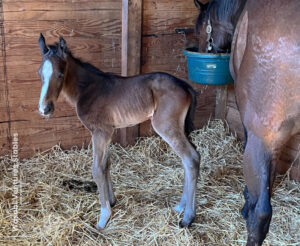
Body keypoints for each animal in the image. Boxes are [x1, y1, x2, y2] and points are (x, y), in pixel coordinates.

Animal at [37, 34, 200, 229]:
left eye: (60, 74)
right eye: (40, 73)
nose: (45, 109)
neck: (87, 89)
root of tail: (184, 85)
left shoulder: (100, 132)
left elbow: (97, 169)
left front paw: (103, 217)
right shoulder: (108, 133)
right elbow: (106, 165)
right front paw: (112, 201)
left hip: (166, 126)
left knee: (190, 158)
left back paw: (188, 217)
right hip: (178, 127)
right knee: (188, 159)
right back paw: (180, 206)